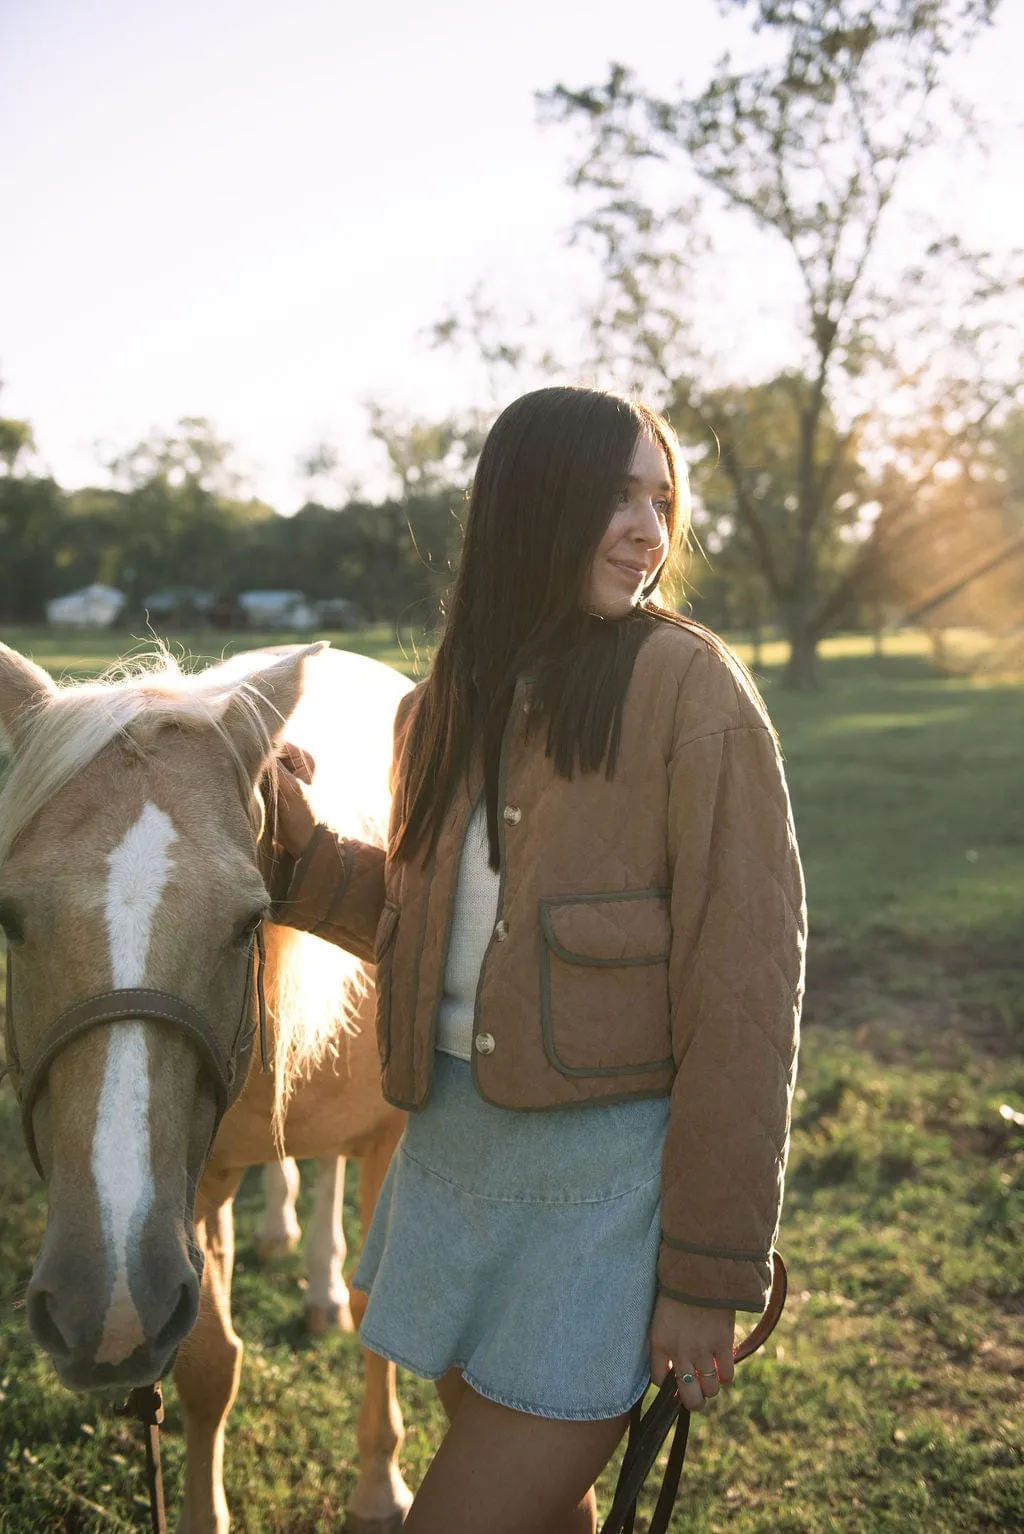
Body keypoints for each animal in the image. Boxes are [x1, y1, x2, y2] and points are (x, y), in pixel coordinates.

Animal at [1, 638, 416, 1534]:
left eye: (246, 920)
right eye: (7, 918)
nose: (100, 1300)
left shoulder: (391, 1144)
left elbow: (380, 1311)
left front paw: (378, 1487)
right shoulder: (181, 1200)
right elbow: (207, 1367)